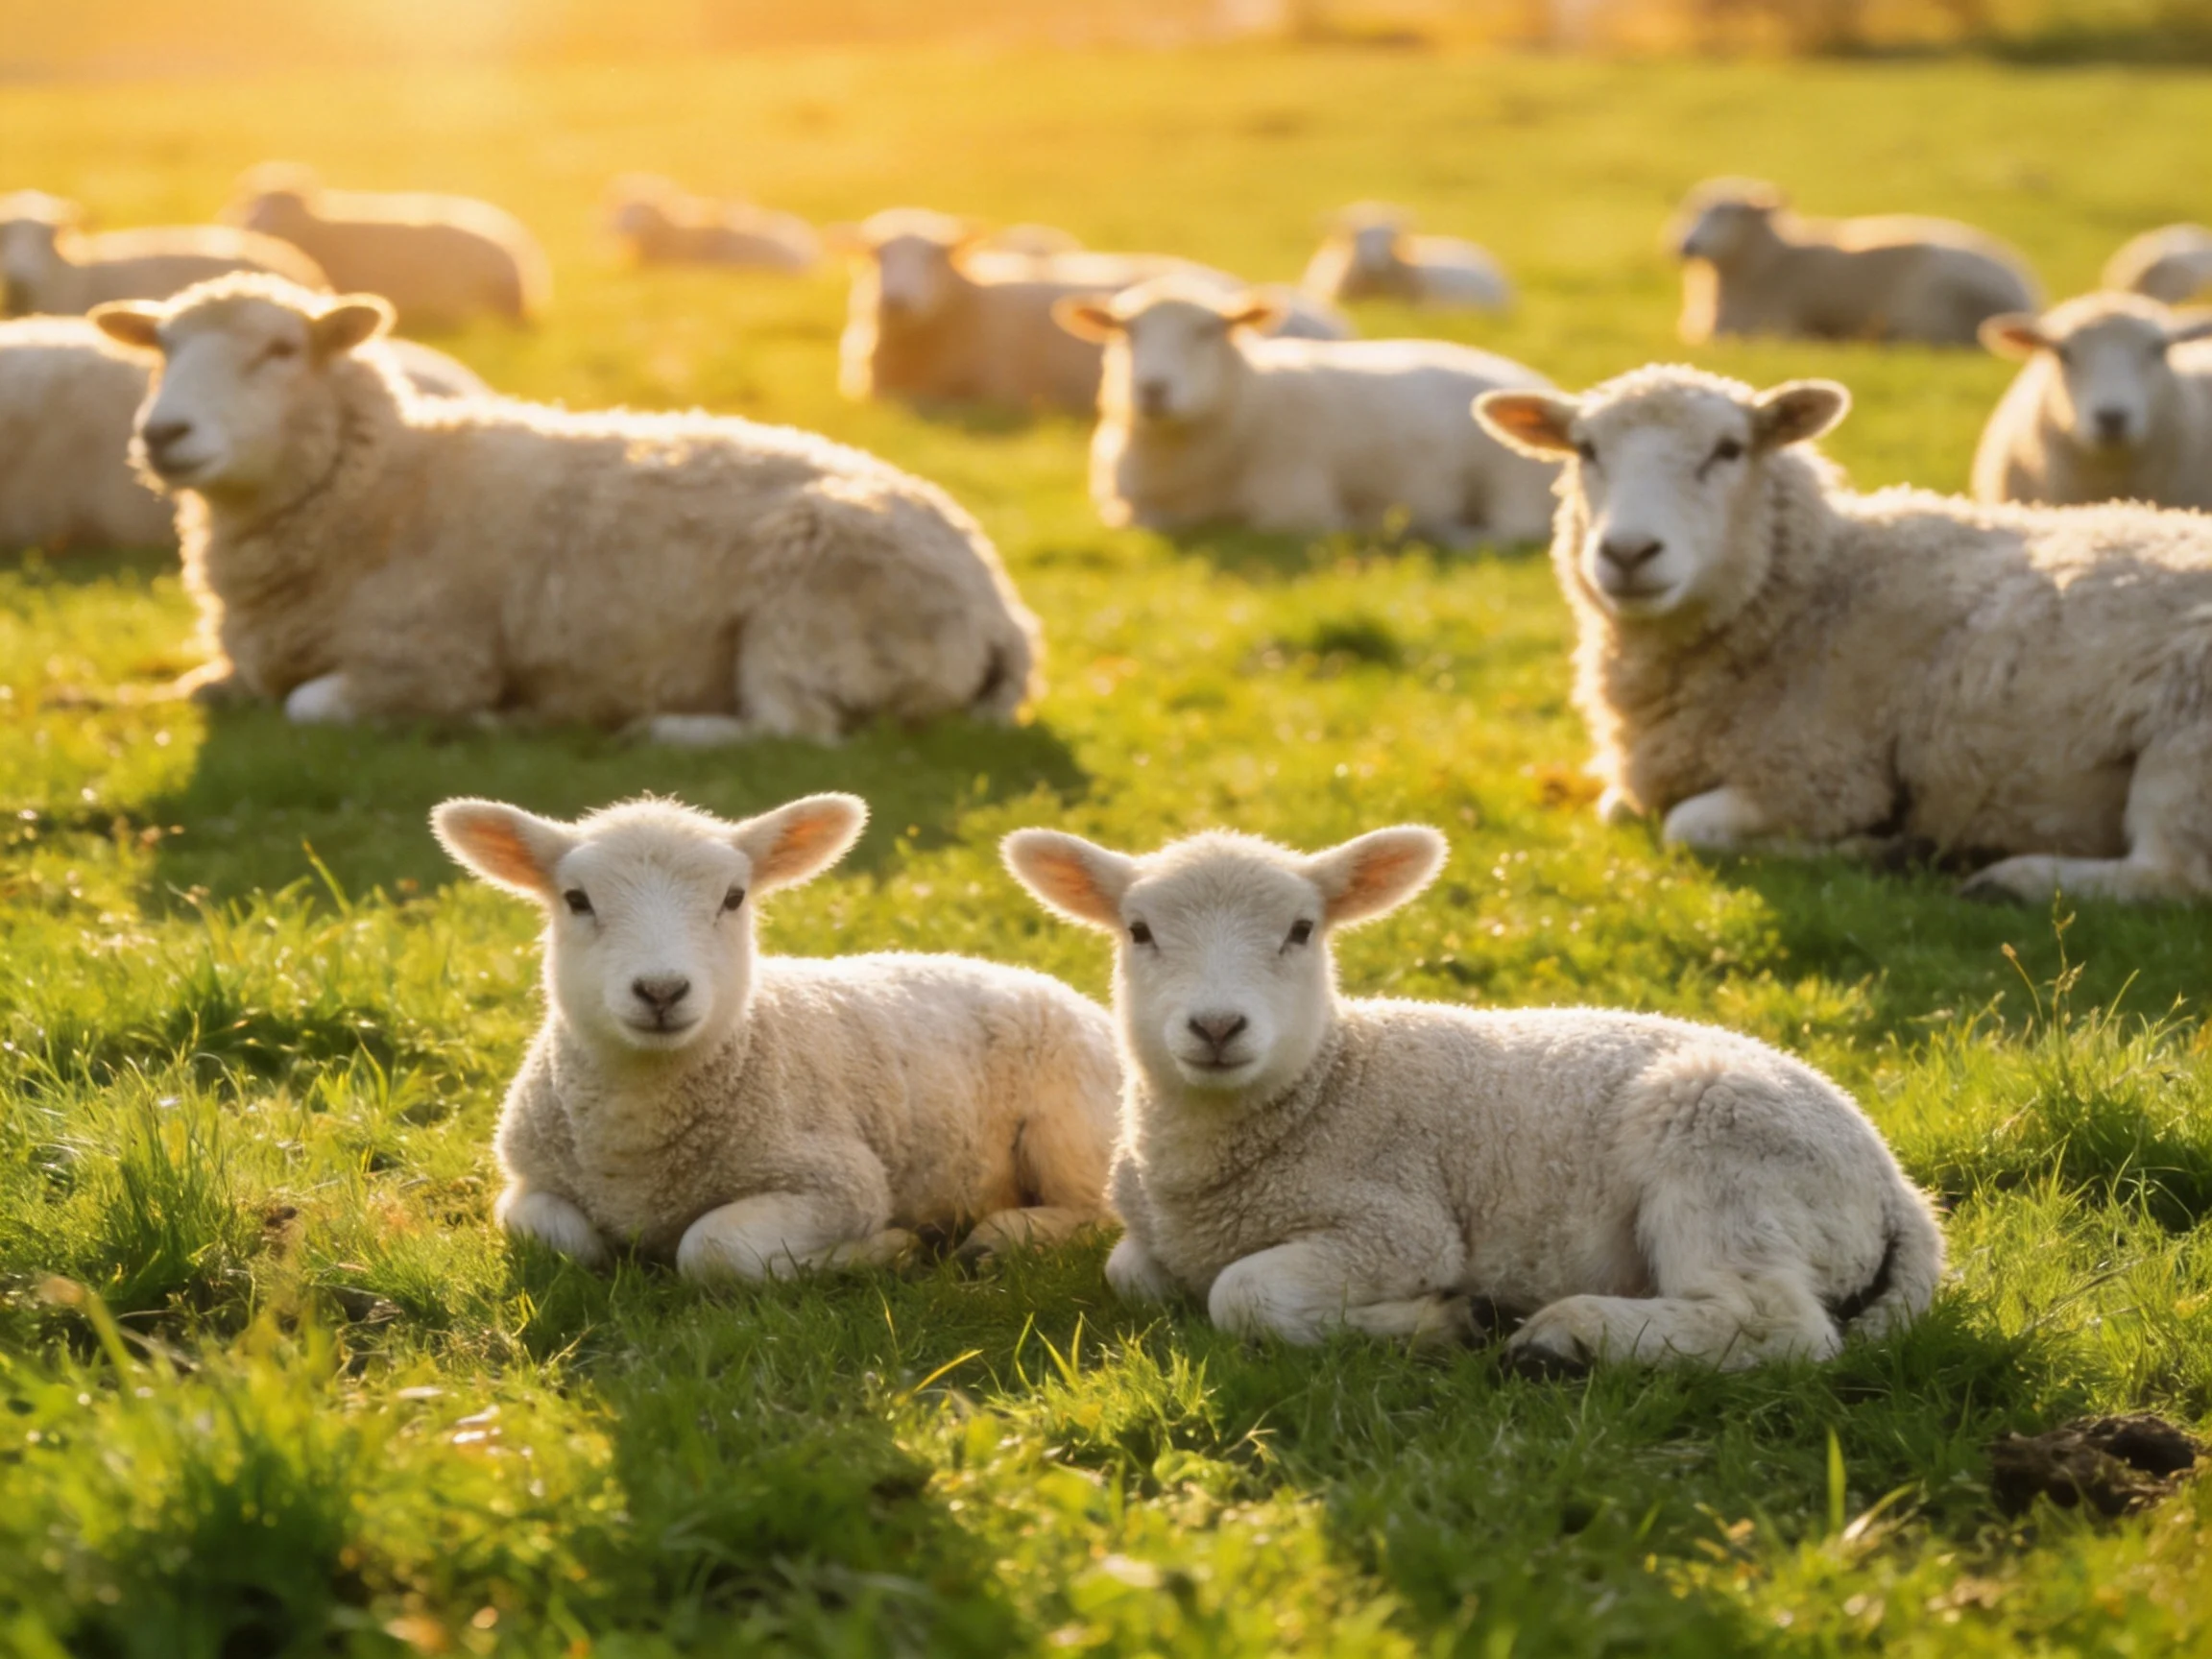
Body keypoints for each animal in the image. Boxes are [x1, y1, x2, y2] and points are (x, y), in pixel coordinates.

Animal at [90, 275, 1040, 740]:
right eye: (162, 347)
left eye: (282, 350)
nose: (162, 432)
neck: (386, 484)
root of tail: (1006, 612)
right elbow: (201, 690)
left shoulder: (429, 663)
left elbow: (306, 706)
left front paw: (487, 718)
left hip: (811, 614)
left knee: (798, 730)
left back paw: (654, 729)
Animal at [435, 792, 1121, 1275]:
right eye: (576, 899)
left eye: (734, 898)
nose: (661, 991)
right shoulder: (529, 1181)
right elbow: (562, 1239)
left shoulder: (841, 1182)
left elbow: (709, 1247)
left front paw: (883, 1250)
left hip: (1074, 1124)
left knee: (1099, 1210)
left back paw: (1004, 1237)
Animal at [1002, 822, 1942, 1369]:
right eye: (1139, 931)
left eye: (1302, 931)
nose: (1217, 1026)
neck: (1325, 1087)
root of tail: (1897, 1186)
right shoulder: (1151, 1239)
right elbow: (1129, 1272)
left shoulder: (1396, 1225)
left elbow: (1241, 1294)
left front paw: (1440, 1320)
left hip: (1726, 1152)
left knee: (1776, 1324)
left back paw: (1564, 1336)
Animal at [1056, 276, 1557, 545]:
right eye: (1125, 331)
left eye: (1208, 331)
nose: (1153, 389)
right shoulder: (1123, 502)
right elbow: (1137, 518)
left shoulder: (1295, 509)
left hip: (1514, 481)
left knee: (1512, 532)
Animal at [1474, 362, 2212, 904]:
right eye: (1586, 450)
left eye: (1728, 450)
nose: (1627, 552)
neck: (1816, 587)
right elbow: (1619, 810)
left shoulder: (1825, 778)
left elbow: (1686, 825)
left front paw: (1874, 848)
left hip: (2185, 749)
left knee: (2172, 878)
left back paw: (2013, 879)